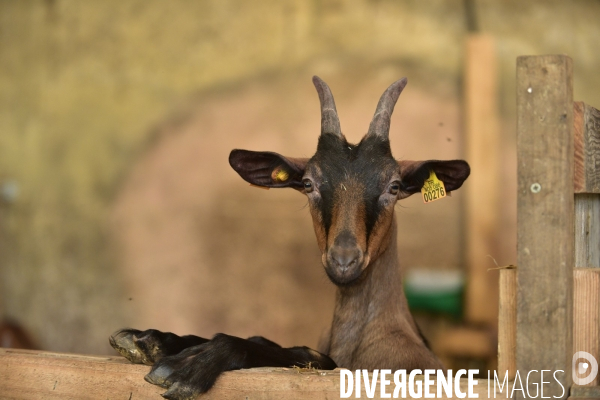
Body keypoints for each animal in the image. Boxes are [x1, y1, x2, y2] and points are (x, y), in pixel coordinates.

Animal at [110, 76, 472, 400]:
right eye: (309, 183)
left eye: (394, 186)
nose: (343, 260)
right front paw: (149, 340)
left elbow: (308, 355)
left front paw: (189, 366)